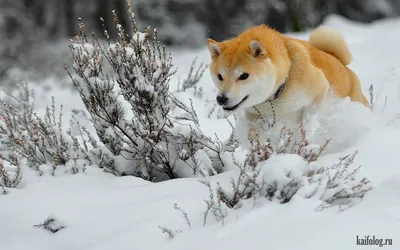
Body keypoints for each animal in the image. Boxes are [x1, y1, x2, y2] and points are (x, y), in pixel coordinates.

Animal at [208, 25, 370, 142]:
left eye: (244, 76)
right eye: (220, 76)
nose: (221, 98)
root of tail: (342, 64)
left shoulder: (320, 88)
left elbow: (309, 117)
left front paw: (305, 134)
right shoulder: (253, 114)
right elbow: (254, 135)